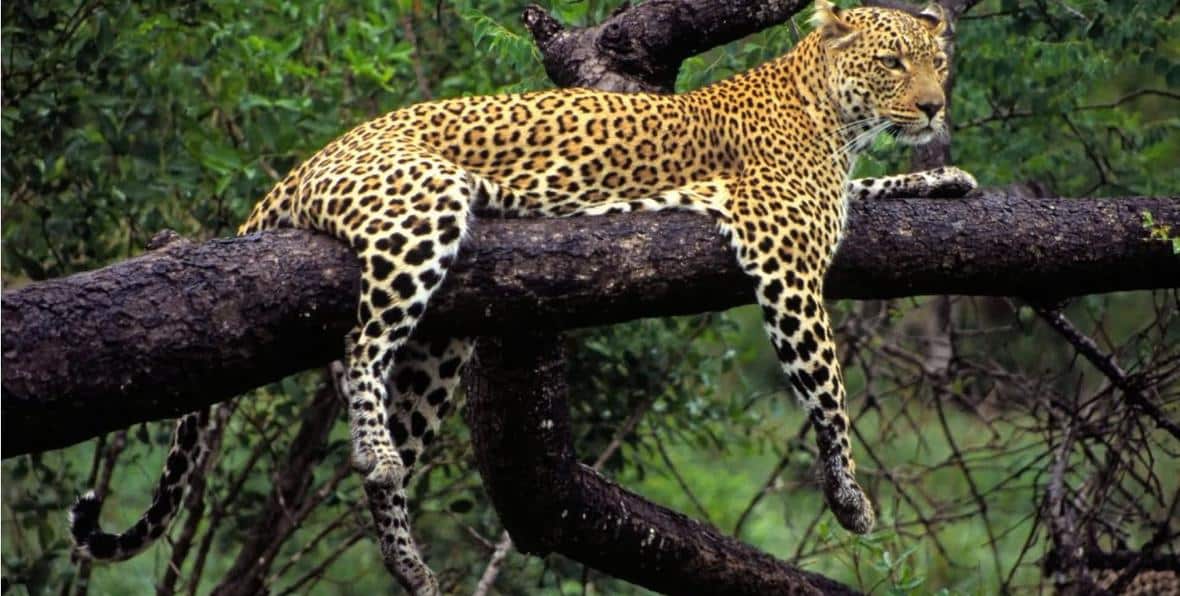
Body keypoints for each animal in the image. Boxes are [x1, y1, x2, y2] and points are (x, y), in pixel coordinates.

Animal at [69, 1, 976, 593]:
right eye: (893, 62)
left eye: (939, 64)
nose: (935, 106)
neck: (831, 110)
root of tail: (310, 160)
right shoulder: (783, 251)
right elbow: (830, 390)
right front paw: (849, 494)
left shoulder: (823, 207)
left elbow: (875, 189)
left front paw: (944, 178)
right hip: (421, 208)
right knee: (360, 348)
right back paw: (376, 452)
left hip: (439, 344)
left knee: (394, 414)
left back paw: (405, 558)